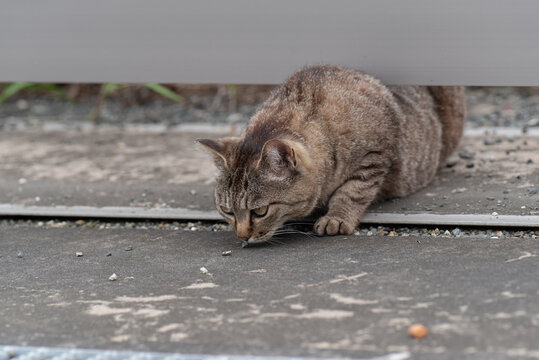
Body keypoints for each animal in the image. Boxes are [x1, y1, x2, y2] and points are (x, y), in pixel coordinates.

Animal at [196, 64, 466, 245]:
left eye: (260, 211)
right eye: (227, 211)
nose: (242, 236)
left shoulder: (375, 155)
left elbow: (352, 191)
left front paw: (336, 218)